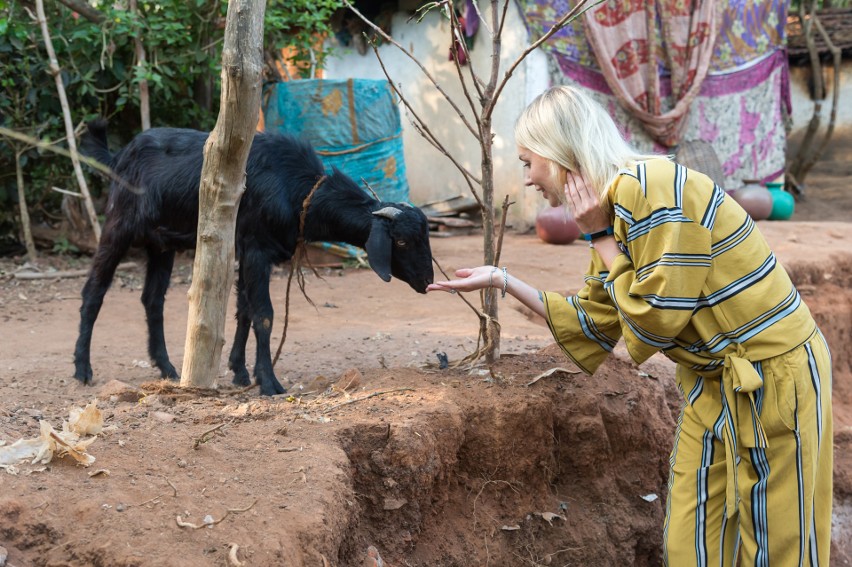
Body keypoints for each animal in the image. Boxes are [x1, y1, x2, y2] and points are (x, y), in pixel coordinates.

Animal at [72, 121, 432, 394]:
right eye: (401, 241)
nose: (427, 281)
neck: (296, 188)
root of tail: (119, 156)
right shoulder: (257, 249)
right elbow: (264, 314)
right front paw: (269, 381)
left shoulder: (246, 250)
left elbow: (244, 309)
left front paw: (240, 372)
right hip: (118, 226)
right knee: (94, 292)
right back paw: (82, 368)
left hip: (161, 244)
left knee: (152, 299)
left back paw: (167, 367)